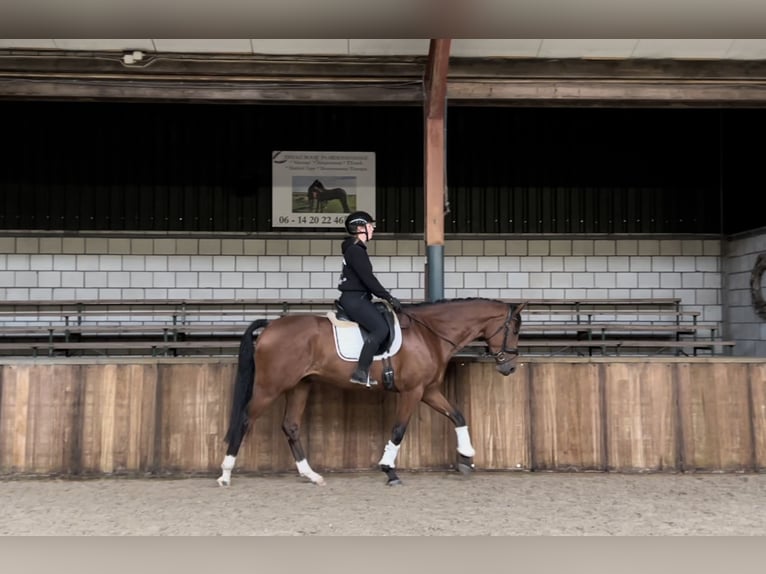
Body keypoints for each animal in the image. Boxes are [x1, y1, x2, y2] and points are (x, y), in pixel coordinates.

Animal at [218, 300, 528, 488]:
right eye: (513, 329)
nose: (510, 366)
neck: (430, 334)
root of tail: (271, 325)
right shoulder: (413, 392)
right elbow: (399, 430)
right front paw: (389, 470)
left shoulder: (428, 390)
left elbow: (458, 416)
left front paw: (466, 457)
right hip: (270, 387)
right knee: (245, 420)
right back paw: (225, 473)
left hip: (300, 386)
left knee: (290, 426)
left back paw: (311, 475)